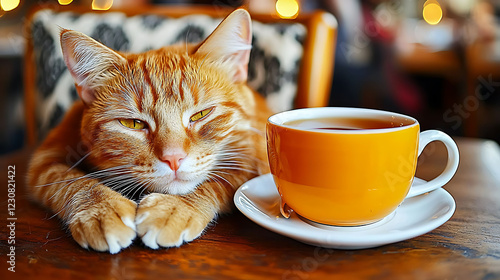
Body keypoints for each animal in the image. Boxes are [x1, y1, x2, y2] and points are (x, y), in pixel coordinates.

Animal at [27, 9, 272, 254]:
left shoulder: (254, 155)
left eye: (200, 115)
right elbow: (71, 181)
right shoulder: (46, 159)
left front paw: (174, 208)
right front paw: (102, 210)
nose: (173, 159)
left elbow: (219, 178)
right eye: (133, 124)